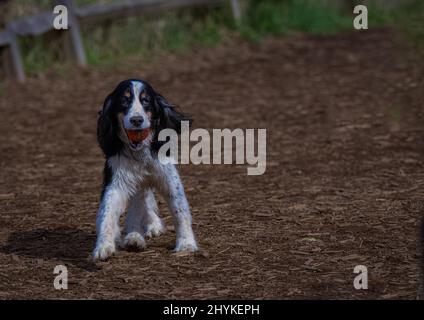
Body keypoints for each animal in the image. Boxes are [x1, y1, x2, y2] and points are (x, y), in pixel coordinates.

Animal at [92, 79, 198, 262]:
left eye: (146, 100)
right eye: (125, 100)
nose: (137, 120)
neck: (140, 153)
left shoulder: (169, 178)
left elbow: (180, 211)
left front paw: (186, 244)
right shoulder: (116, 181)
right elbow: (106, 213)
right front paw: (104, 246)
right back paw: (134, 237)